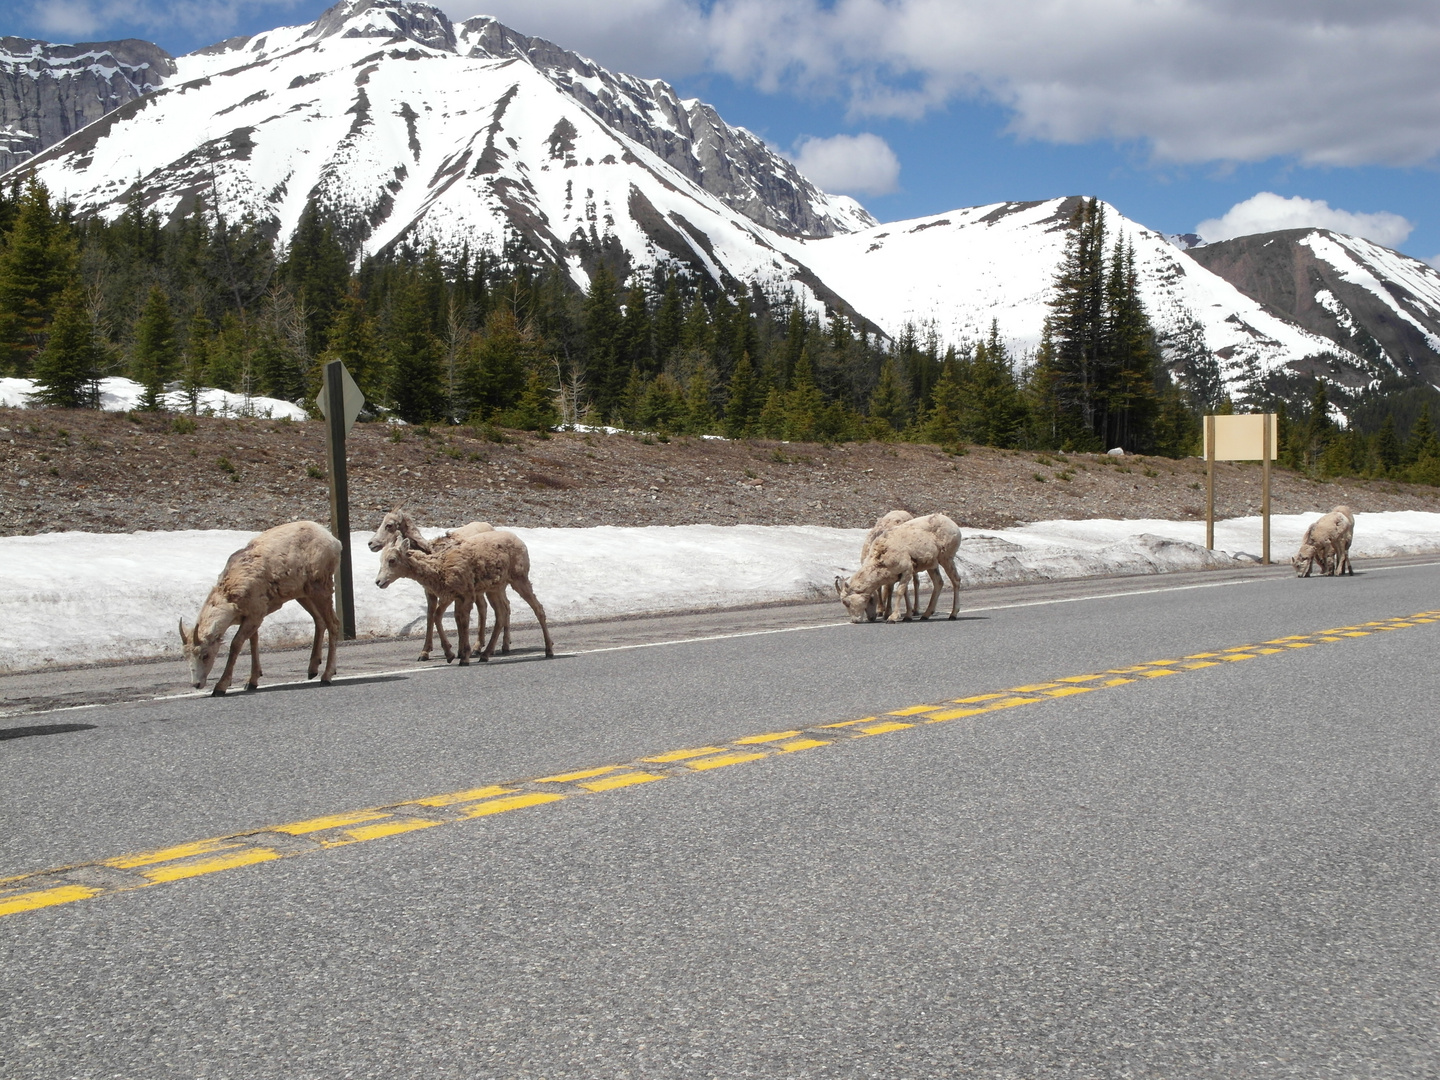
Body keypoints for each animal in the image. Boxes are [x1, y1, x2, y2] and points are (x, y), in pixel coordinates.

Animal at [180, 521, 342, 694]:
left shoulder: (255, 615)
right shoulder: (252, 618)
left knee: (333, 624)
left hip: (321, 588)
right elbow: (253, 642)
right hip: (303, 594)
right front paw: (251, 682)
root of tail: (334, 542)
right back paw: (312, 670)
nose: (196, 684)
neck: (231, 594)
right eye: (186, 656)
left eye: (205, 655)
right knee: (319, 620)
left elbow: (236, 644)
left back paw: (326, 676)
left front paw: (221, 687)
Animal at [365, 512, 501, 665]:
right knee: (485, 607)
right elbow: (431, 616)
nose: (370, 544)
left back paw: (481, 648)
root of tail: (488, 526)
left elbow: (456, 618)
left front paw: (459, 652)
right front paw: (424, 653)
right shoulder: (430, 592)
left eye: (389, 525)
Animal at [374, 529, 552, 665]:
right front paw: (451, 654)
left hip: (519, 578)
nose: (378, 582)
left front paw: (463, 657)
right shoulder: (450, 596)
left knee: (537, 608)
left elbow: (462, 623)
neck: (439, 568)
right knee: (502, 613)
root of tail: (522, 543)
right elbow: (440, 617)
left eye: (392, 560)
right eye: (380, 560)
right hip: (495, 588)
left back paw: (549, 650)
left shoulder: (465, 595)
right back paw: (485, 654)